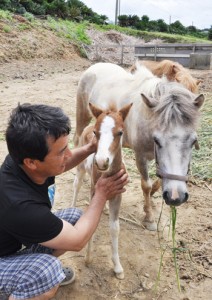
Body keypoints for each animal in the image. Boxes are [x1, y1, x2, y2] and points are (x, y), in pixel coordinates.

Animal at [73, 62, 205, 231]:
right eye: (157, 140)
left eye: (193, 141)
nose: (176, 197)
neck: (147, 116)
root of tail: (96, 66)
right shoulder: (140, 156)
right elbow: (146, 185)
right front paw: (149, 218)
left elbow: (159, 180)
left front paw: (154, 196)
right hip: (82, 115)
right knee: (77, 140)